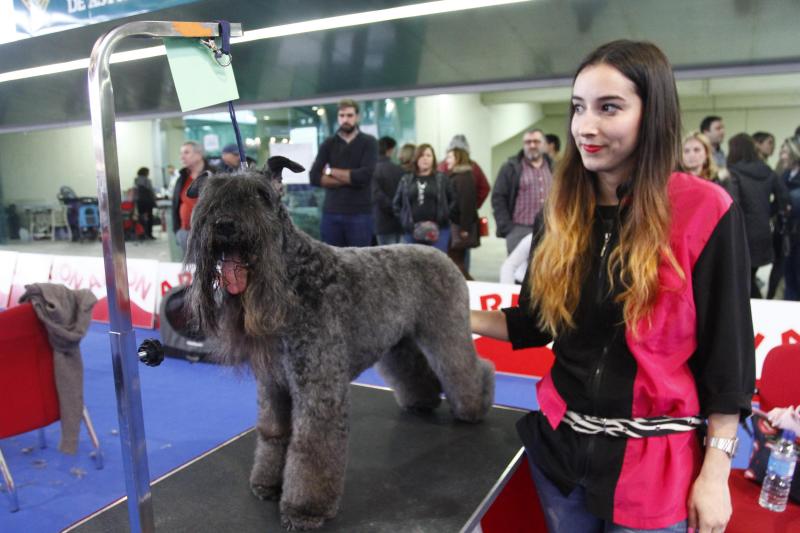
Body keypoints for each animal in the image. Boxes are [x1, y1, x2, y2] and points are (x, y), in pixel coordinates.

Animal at [186, 156, 494, 528]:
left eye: (260, 195)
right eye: (209, 198)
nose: (226, 225)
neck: (292, 281)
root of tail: (440, 254)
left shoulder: (318, 388)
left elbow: (310, 445)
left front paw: (304, 508)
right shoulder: (273, 386)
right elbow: (273, 434)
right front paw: (267, 484)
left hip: (446, 329)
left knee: (466, 368)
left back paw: (475, 407)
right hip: (401, 342)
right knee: (415, 371)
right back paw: (422, 401)